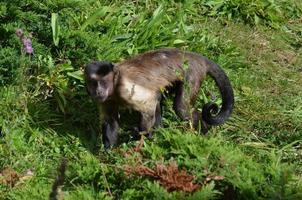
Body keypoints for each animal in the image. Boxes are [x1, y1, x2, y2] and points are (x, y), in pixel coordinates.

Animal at [84, 48, 235, 148]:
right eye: (93, 82)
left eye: (103, 82)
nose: (98, 90)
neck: (114, 86)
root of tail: (195, 56)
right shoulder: (107, 99)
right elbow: (110, 120)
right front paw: (108, 152)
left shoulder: (125, 87)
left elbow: (149, 102)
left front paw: (142, 135)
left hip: (192, 73)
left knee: (180, 108)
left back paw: (203, 130)